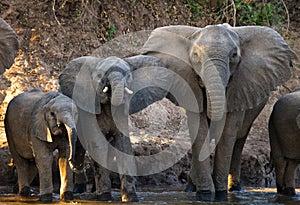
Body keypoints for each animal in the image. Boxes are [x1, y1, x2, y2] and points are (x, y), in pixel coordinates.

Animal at [58, 54, 175, 202]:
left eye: (128, 75)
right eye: (100, 76)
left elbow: (123, 145)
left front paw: (130, 198)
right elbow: (98, 144)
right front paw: (104, 197)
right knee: (79, 147)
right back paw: (80, 188)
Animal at [139, 23, 298, 201]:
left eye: (234, 55)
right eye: (195, 55)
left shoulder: (240, 86)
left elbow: (227, 132)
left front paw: (220, 196)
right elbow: (199, 128)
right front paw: (205, 195)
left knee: (239, 138)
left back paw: (234, 189)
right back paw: (190, 189)